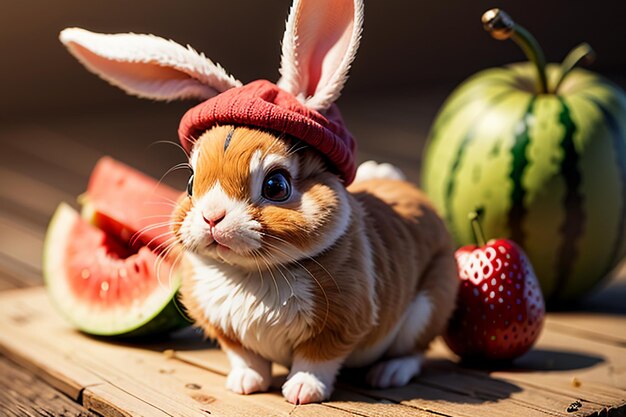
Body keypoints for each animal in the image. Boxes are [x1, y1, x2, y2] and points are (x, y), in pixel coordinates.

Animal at [61, 0, 456, 404]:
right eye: (190, 183)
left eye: (277, 185)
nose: (212, 217)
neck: (250, 273)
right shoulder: (226, 332)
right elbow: (247, 358)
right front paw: (244, 385)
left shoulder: (338, 325)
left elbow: (316, 361)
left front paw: (301, 392)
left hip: (431, 304)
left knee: (414, 351)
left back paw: (388, 374)